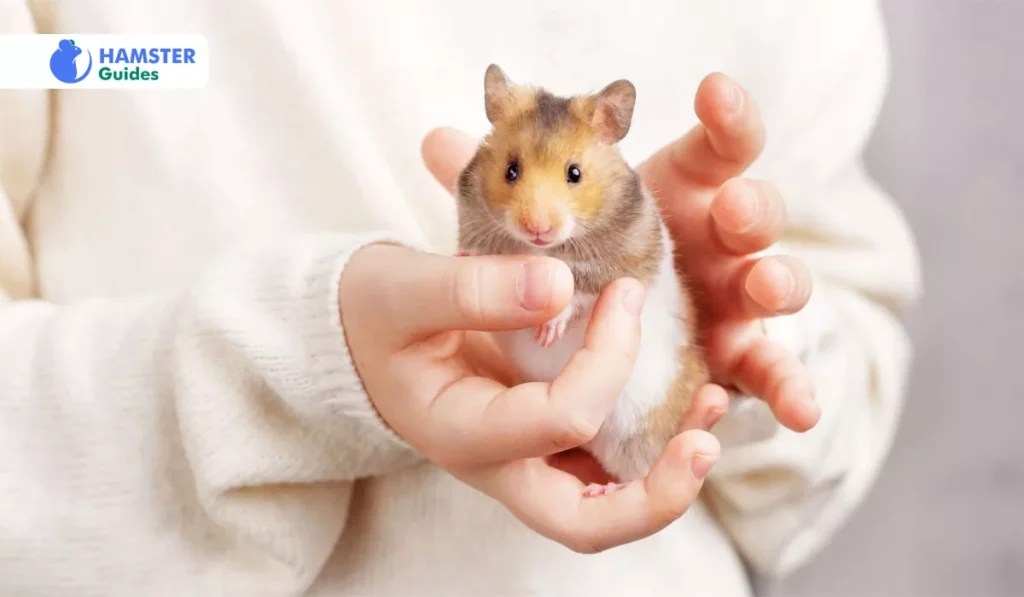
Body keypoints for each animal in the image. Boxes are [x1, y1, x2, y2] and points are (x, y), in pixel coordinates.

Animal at [455, 64, 709, 494]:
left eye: (574, 174)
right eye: (511, 170)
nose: (537, 229)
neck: (545, 249)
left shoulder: (624, 265)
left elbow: (583, 293)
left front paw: (547, 332)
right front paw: (459, 258)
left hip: (639, 429)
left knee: (642, 470)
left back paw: (602, 489)